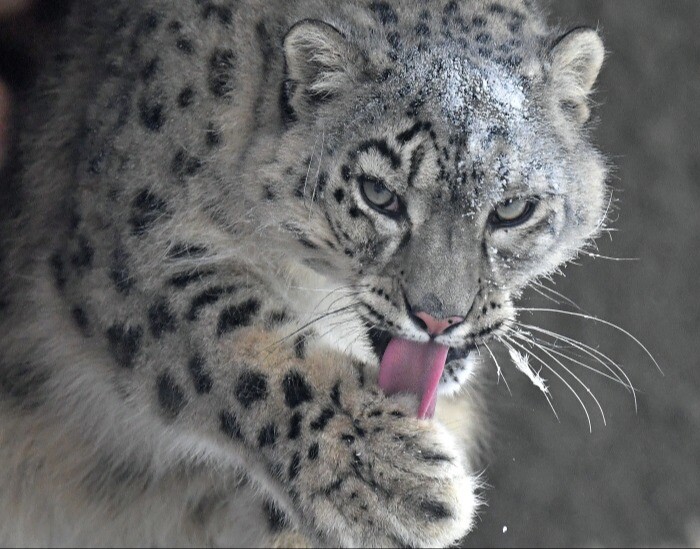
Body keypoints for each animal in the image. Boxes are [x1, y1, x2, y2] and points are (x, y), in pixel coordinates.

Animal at [0, 0, 608, 544]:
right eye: (379, 194)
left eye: (513, 209)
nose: (439, 319)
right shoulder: (131, 244)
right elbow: (240, 344)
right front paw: (391, 476)